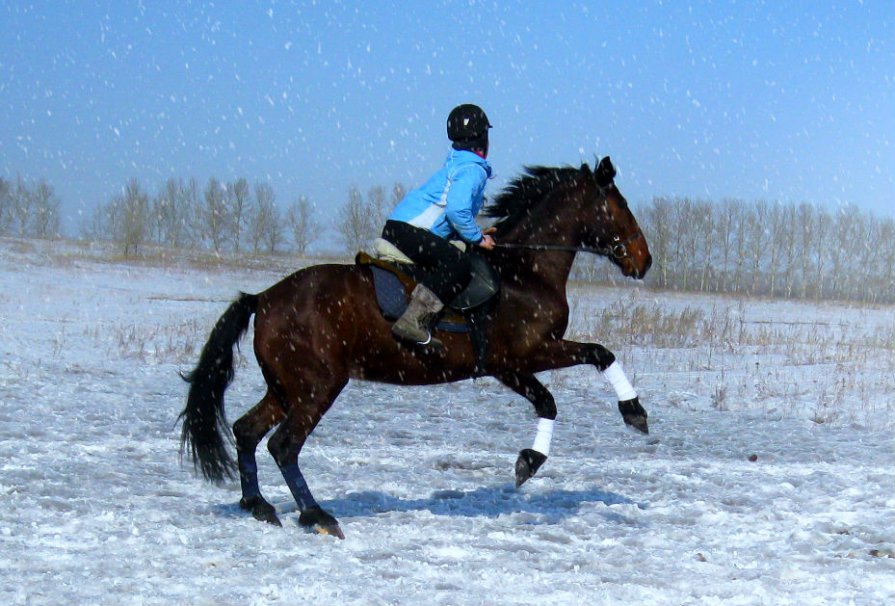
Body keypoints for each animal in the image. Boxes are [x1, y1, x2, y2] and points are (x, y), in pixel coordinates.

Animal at [178, 157, 652, 540]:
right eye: (620, 206)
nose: (644, 261)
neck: (524, 270)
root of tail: (262, 298)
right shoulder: (524, 355)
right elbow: (595, 358)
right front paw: (633, 413)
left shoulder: (506, 367)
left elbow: (551, 398)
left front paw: (529, 461)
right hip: (317, 387)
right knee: (284, 445)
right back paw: (317, 516)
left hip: (285, 388)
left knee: (246, 430)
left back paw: (258, 506)